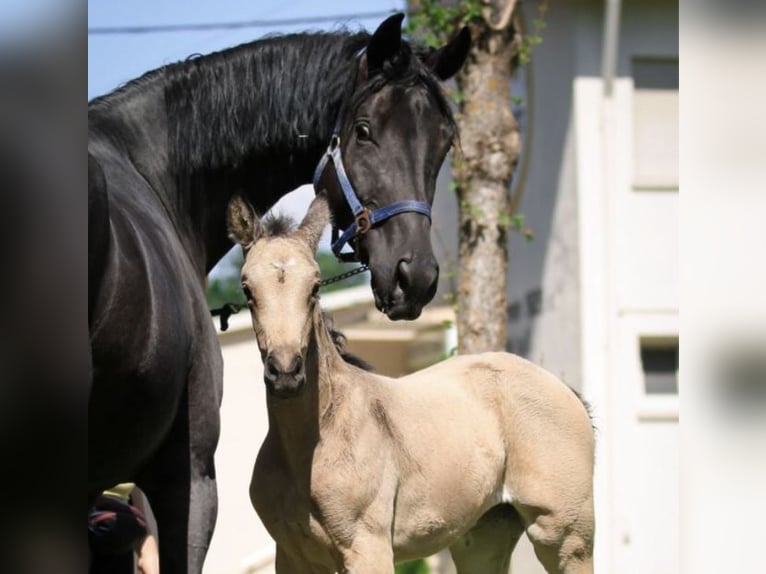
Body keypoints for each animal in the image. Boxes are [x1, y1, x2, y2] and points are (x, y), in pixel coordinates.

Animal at [228, 193, 596, 574]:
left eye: (314, 287)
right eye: (247, 289)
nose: (286, 372)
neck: (317, 438)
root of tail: (562, 389)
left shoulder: (368, 548)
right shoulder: (292, 556)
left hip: (565, 536)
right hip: (484, 535)